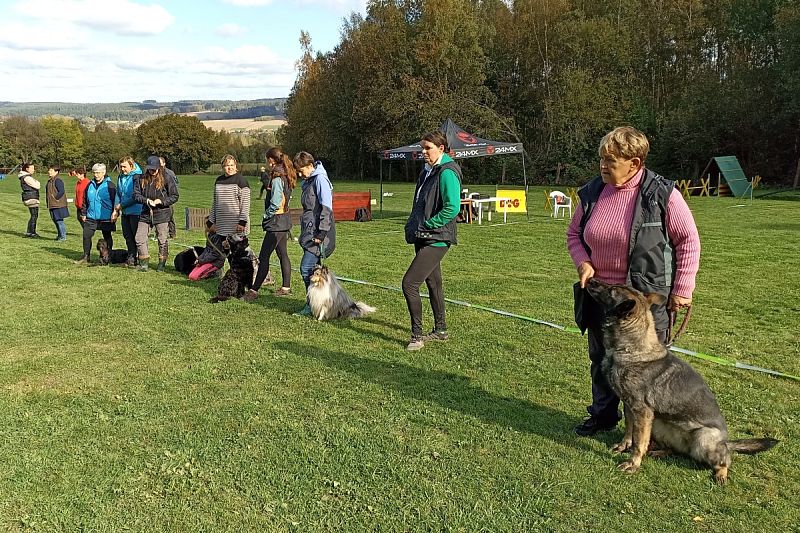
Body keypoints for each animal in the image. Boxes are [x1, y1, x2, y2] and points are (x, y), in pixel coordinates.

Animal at [584, 276, 780, 484]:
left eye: (611, 290)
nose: (591, 279)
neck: (631, 349)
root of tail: (726, 442)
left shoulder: (642, 411)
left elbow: (639, 442)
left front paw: (633, 463)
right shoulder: (630, 407)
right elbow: (629, 431)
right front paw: (623, 446)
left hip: (703, 438)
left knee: (725, 459)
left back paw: (720, 474)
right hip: (659, 423)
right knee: (675, 450)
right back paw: (660, 451)